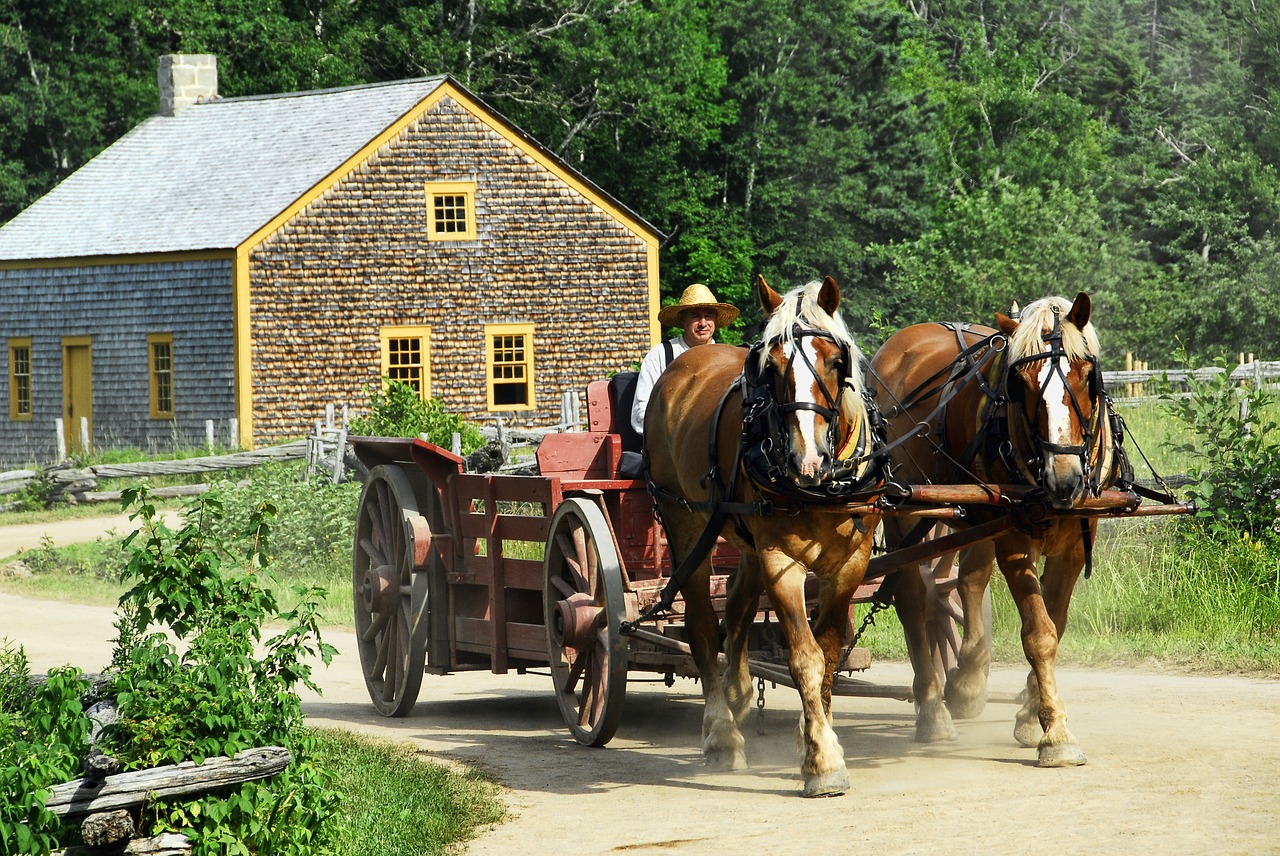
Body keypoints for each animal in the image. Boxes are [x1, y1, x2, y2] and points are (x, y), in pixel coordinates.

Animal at [645, 275, 885, 793]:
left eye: (836, 362)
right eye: (770, 367)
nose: (807, 460)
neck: (823, 487)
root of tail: (685, 364)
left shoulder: (849, 564)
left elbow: (829, 655)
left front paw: (816, 735)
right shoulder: (781, 561)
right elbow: (805, 658)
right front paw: (822, 761)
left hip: (744, 537)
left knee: (736, 604)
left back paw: (737, 692)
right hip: (685, 522)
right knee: (701, 625)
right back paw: (720, 733)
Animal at [870, 295, 1121, 767]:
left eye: (1086, 375)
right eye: (1019, 384)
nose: (1064, 479)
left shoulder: (1075, 543)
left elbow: (1055, 623)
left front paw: (1030, 715)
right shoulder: (1014, 539)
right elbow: (1039, 633)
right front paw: (1055, 734)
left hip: (977, 515)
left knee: (967, 578)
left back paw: (967, 676)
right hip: (907, 509)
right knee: (913, 597)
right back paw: (932, 708)